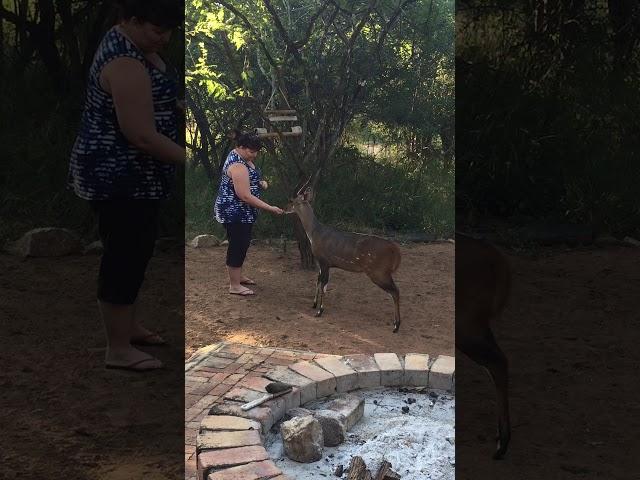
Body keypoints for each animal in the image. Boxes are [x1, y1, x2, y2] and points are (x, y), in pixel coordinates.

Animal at [284, 186, 400, 332]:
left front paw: (319, 311)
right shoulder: (321, 263)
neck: (314, 233)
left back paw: (396, 326)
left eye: (292, 201)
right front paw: (314, 304)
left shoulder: (324, 262)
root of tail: (395, 250)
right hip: (382, 273)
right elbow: (318, 281)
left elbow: (324, 284)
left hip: (379, 273)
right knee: (394, 291)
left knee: (395, 291)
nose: (284, 208)